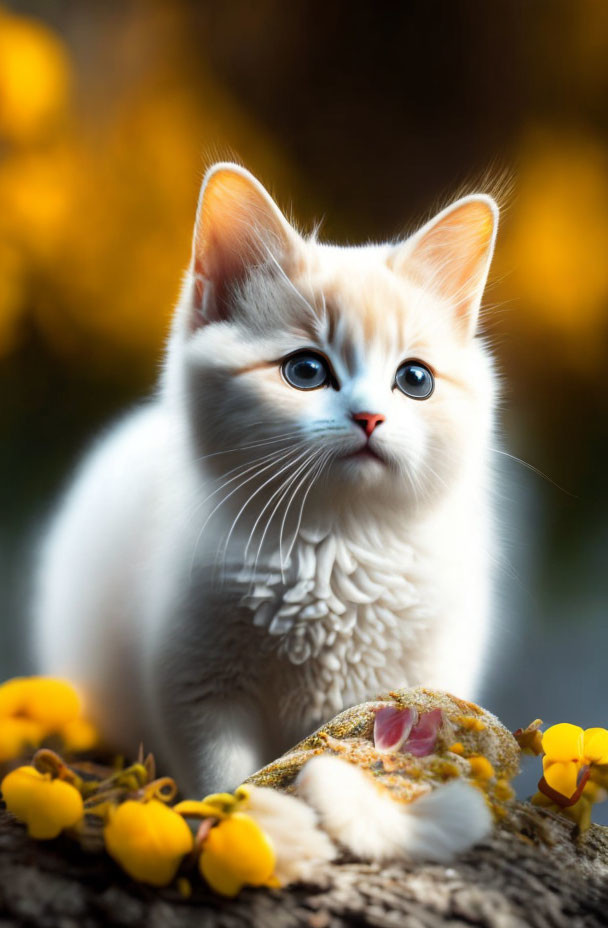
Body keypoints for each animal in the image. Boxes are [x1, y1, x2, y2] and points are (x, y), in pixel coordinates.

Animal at [32, 161, 498, 796]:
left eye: (415, 379)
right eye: (305, 370)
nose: (369, 417)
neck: (335, 544)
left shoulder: (418, 672)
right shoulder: (199, 685)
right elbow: (225, 777)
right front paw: (231, 813)